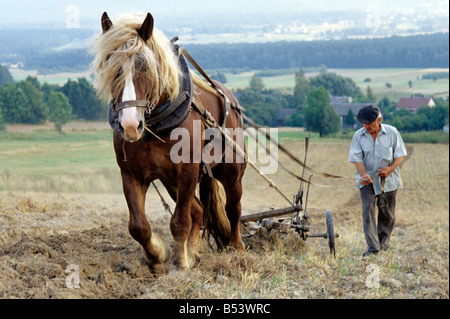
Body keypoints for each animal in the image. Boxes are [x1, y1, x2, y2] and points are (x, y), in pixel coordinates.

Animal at [90, 13, 246, 272]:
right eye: (111, 67)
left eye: (145, 66)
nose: (130, 125)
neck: (155, 124)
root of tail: (229, 97)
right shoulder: (131, 175)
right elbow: (138, 226)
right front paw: (158, 254)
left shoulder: (188, 173)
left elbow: (180, 221)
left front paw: (180, 263)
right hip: (171, 182)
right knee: (199, 210)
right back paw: (194, 252)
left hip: (231, 171)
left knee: (233, 209)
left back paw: (237, 249)